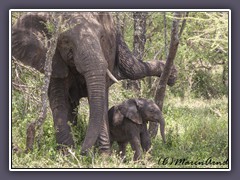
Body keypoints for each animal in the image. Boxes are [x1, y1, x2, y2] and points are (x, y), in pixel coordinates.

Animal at [11, 11, 177, 155]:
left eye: (102, 37)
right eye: (65, 41)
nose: (82, 152)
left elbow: (99, 100)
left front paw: (103, 156)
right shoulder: (52, 60)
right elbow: (59, 100)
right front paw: (67, 154)